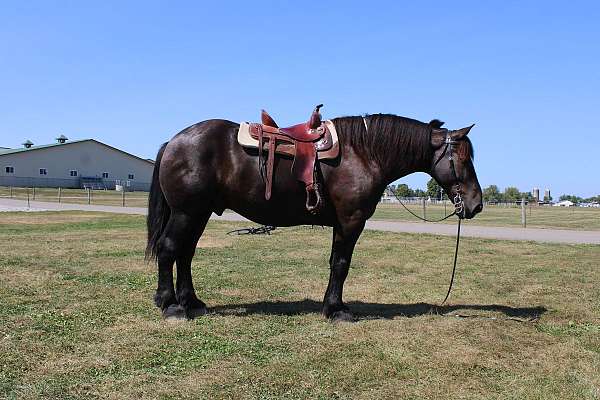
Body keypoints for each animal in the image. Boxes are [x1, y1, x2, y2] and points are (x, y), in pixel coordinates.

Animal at [145, 111, 482, 320]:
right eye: (463, 159)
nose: (477, 204)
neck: (363, 153)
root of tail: (175, 141)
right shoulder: (350, 221)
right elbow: (341, 264)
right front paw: (336, 310)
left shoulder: (343, 223)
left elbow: (336, 263)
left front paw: (331, 306)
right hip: (186, 213)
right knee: (169, 249)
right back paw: (170, 305)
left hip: (198, 214)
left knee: (185, 254)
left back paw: (191, 302)